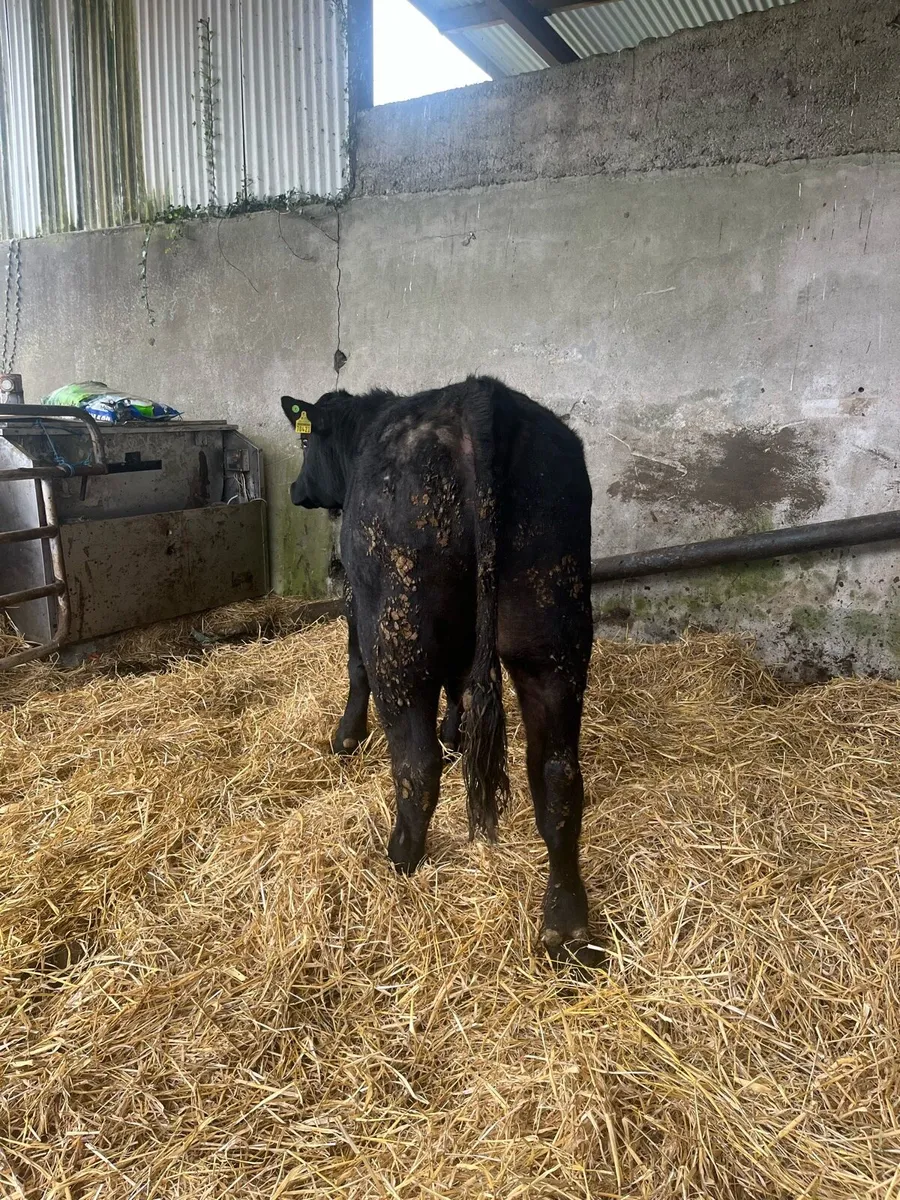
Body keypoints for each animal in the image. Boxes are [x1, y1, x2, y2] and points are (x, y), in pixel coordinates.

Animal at [280, 376, 598, 965]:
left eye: (306, 443)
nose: (294, 489)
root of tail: (482, 396)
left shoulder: (358, 596)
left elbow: (355, 665)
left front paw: (346, 737)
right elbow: (460, 685)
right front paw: (457, 734)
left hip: (400, 621)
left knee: (415, 760)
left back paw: (400, 856)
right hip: (551, 623)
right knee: (559, 773)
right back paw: (565, 922)